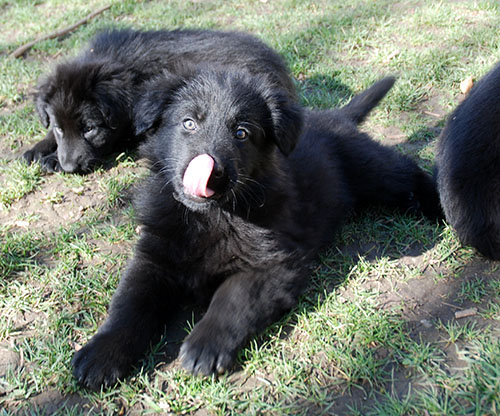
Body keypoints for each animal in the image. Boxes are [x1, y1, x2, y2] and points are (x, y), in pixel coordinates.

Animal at [72, 70, 442, 390]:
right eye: (188, 123)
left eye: (241, 133)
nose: (211, 170)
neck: (212, 217)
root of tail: (335, 117)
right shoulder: (154, 256)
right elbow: (128, 305)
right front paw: (101, 353)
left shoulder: (274, 262)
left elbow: (233, 299)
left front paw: (205, 344)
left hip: (370, 170)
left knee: (406, 172)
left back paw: (440, 205)